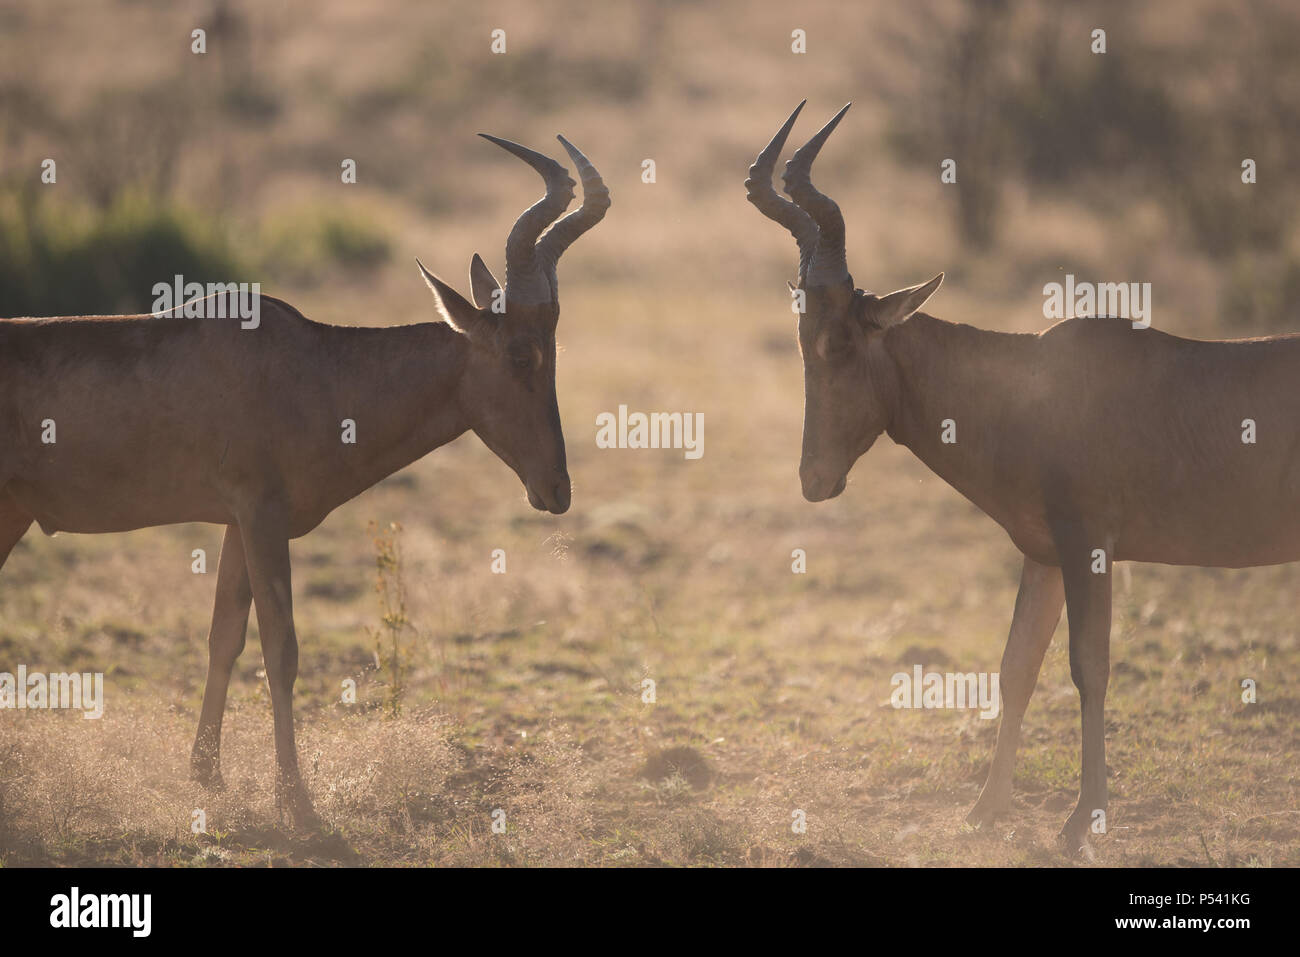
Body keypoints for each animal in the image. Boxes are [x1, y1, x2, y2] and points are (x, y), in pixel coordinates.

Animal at [0, 130, 608, 826]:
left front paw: (208, 777)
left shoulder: (239, 521)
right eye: (520, 354)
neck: (309, 365)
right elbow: (280, 648)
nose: (556, 489)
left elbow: (225, 638)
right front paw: (297, 802)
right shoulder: (262, 514)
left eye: (553, 349)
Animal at [754, 100, 1300, 858]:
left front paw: (1080, 822)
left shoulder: (1089, 545)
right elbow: (1017, 668)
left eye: (840, 341)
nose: (814, 479)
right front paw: (984, 810)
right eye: (801, 338)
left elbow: (1088, 667)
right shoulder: (1041, 553)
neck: (1034, 384)